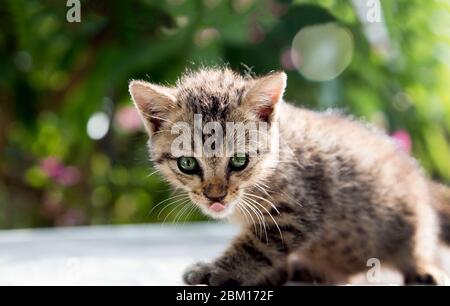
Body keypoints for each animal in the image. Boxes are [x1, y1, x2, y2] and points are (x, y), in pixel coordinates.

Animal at [129, 68, 450, 286]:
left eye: (239, 161)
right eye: (187, 164)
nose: (215, 196)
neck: (272, 165)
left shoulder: (297, 211)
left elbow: (256, 248)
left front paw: (217, 271)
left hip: (412, 218)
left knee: (421, 242)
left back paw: (424, 268)